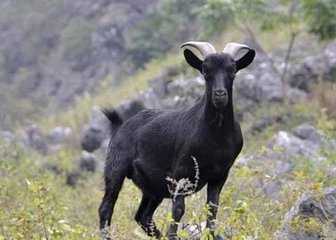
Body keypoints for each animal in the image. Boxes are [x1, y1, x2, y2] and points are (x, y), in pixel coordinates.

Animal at [98, 41, 256, 240]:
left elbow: (212, 208)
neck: (215, 138)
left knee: (143, 216)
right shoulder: (180, 174)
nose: (219, 94)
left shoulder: (220, 175)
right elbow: (179, 210)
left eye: (233, 69)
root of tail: (119, 125)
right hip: (116, 168)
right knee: (106, 208)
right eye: (205, 70)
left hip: (153, 188)